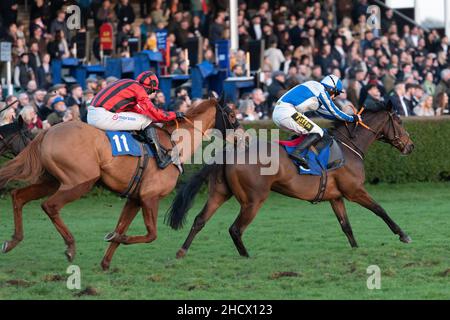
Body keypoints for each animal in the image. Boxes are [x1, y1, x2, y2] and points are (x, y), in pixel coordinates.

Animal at [0, 98, 239, 270]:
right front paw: (116, 238)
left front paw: (106, 262)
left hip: (52, 180)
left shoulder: (135, 198)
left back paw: (12, 241)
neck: (173, 143)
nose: (240, 135)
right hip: (79, 182)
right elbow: (151, 235)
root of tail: (48, 131)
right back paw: (70, 247)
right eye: (232, 114)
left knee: (18, 196)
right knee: (50, 206)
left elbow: (121, 227)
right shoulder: (149, 197)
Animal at [166, 109, 414, 258]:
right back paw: (246, 257)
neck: (347, 147)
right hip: (253, 200)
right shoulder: (354, 191)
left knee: (200, 220)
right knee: (235, 229)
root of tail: (230, 151)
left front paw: (355, 249)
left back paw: (181, 251)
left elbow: (346, 226)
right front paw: (403, 235)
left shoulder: (335, 196)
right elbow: (380, 210)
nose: (410, 146)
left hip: (219, 193)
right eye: (399, 121)